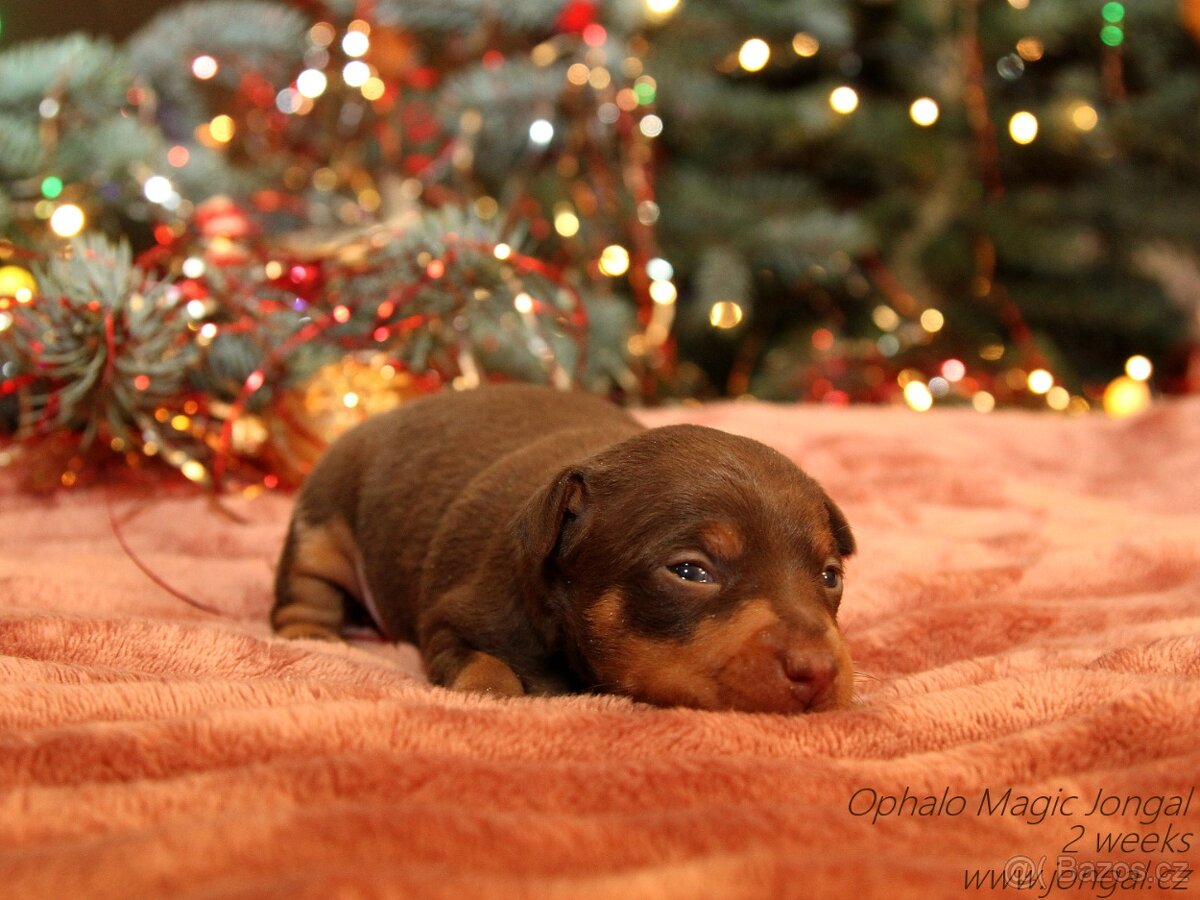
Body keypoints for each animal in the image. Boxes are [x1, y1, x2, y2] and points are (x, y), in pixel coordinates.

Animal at [272, 384, 856, 713]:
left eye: (831, 576)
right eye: (690, 572)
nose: (819, 671)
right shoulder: (450, 622)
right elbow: (483, 664)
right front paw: (497, 698)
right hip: (322, 518)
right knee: (305, 589)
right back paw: (314, 637)